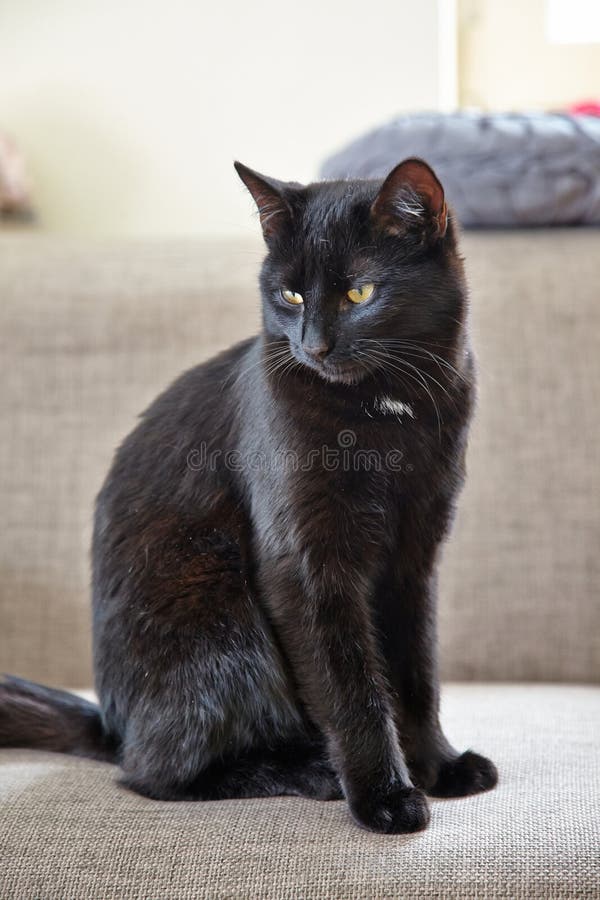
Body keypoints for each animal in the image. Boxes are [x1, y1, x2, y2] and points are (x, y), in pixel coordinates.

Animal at [0, 158, 496, 832]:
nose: (313, 346)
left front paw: (439, 767)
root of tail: (110, 724)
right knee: (157, 774)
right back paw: (310, 772)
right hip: (220, 612)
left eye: (359, 293)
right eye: (290, 295)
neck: (385, 409)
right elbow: (352, 687)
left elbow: (415, 674)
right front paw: (386, 796)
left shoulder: (414, 560)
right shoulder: (305, 565)